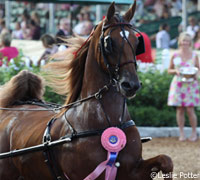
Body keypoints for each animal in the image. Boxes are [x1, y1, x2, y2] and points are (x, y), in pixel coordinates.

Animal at [0, 1, 172, 180]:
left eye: (137, 43)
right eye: (109, 43)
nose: (131, 85)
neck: (106, 122)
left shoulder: (131, 170)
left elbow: (166, 160)